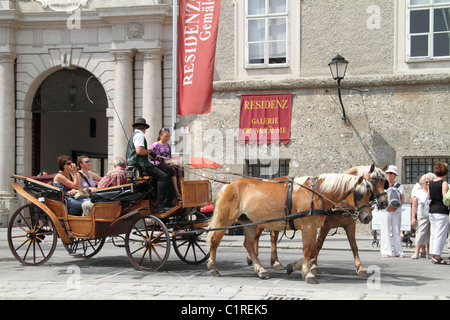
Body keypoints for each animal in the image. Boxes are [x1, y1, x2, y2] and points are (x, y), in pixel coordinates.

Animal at [207, 174, 372, 284]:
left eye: (370, 194)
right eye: (359, 194)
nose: (367, 217)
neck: (317, 194)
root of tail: (228, 185)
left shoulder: (314, 227)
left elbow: (314, 248)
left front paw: (294, 267)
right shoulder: (308, 226)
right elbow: (307, 249)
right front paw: (307, 273)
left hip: (249, 222)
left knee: (248, 244)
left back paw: (261, 270)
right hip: (225, 219)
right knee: (215, 240)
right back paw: (213, 267)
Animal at [250, 165, 386, 278]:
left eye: (384, 182)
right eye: (373, 182)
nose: (384, 202)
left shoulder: (349, 225)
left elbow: (354, 246)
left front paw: (360, 268)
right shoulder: (324, 226)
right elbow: (317, 245)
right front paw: (311, 266)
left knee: (272, 236)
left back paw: (274, 262)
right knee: (256, 235)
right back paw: (254, 258)